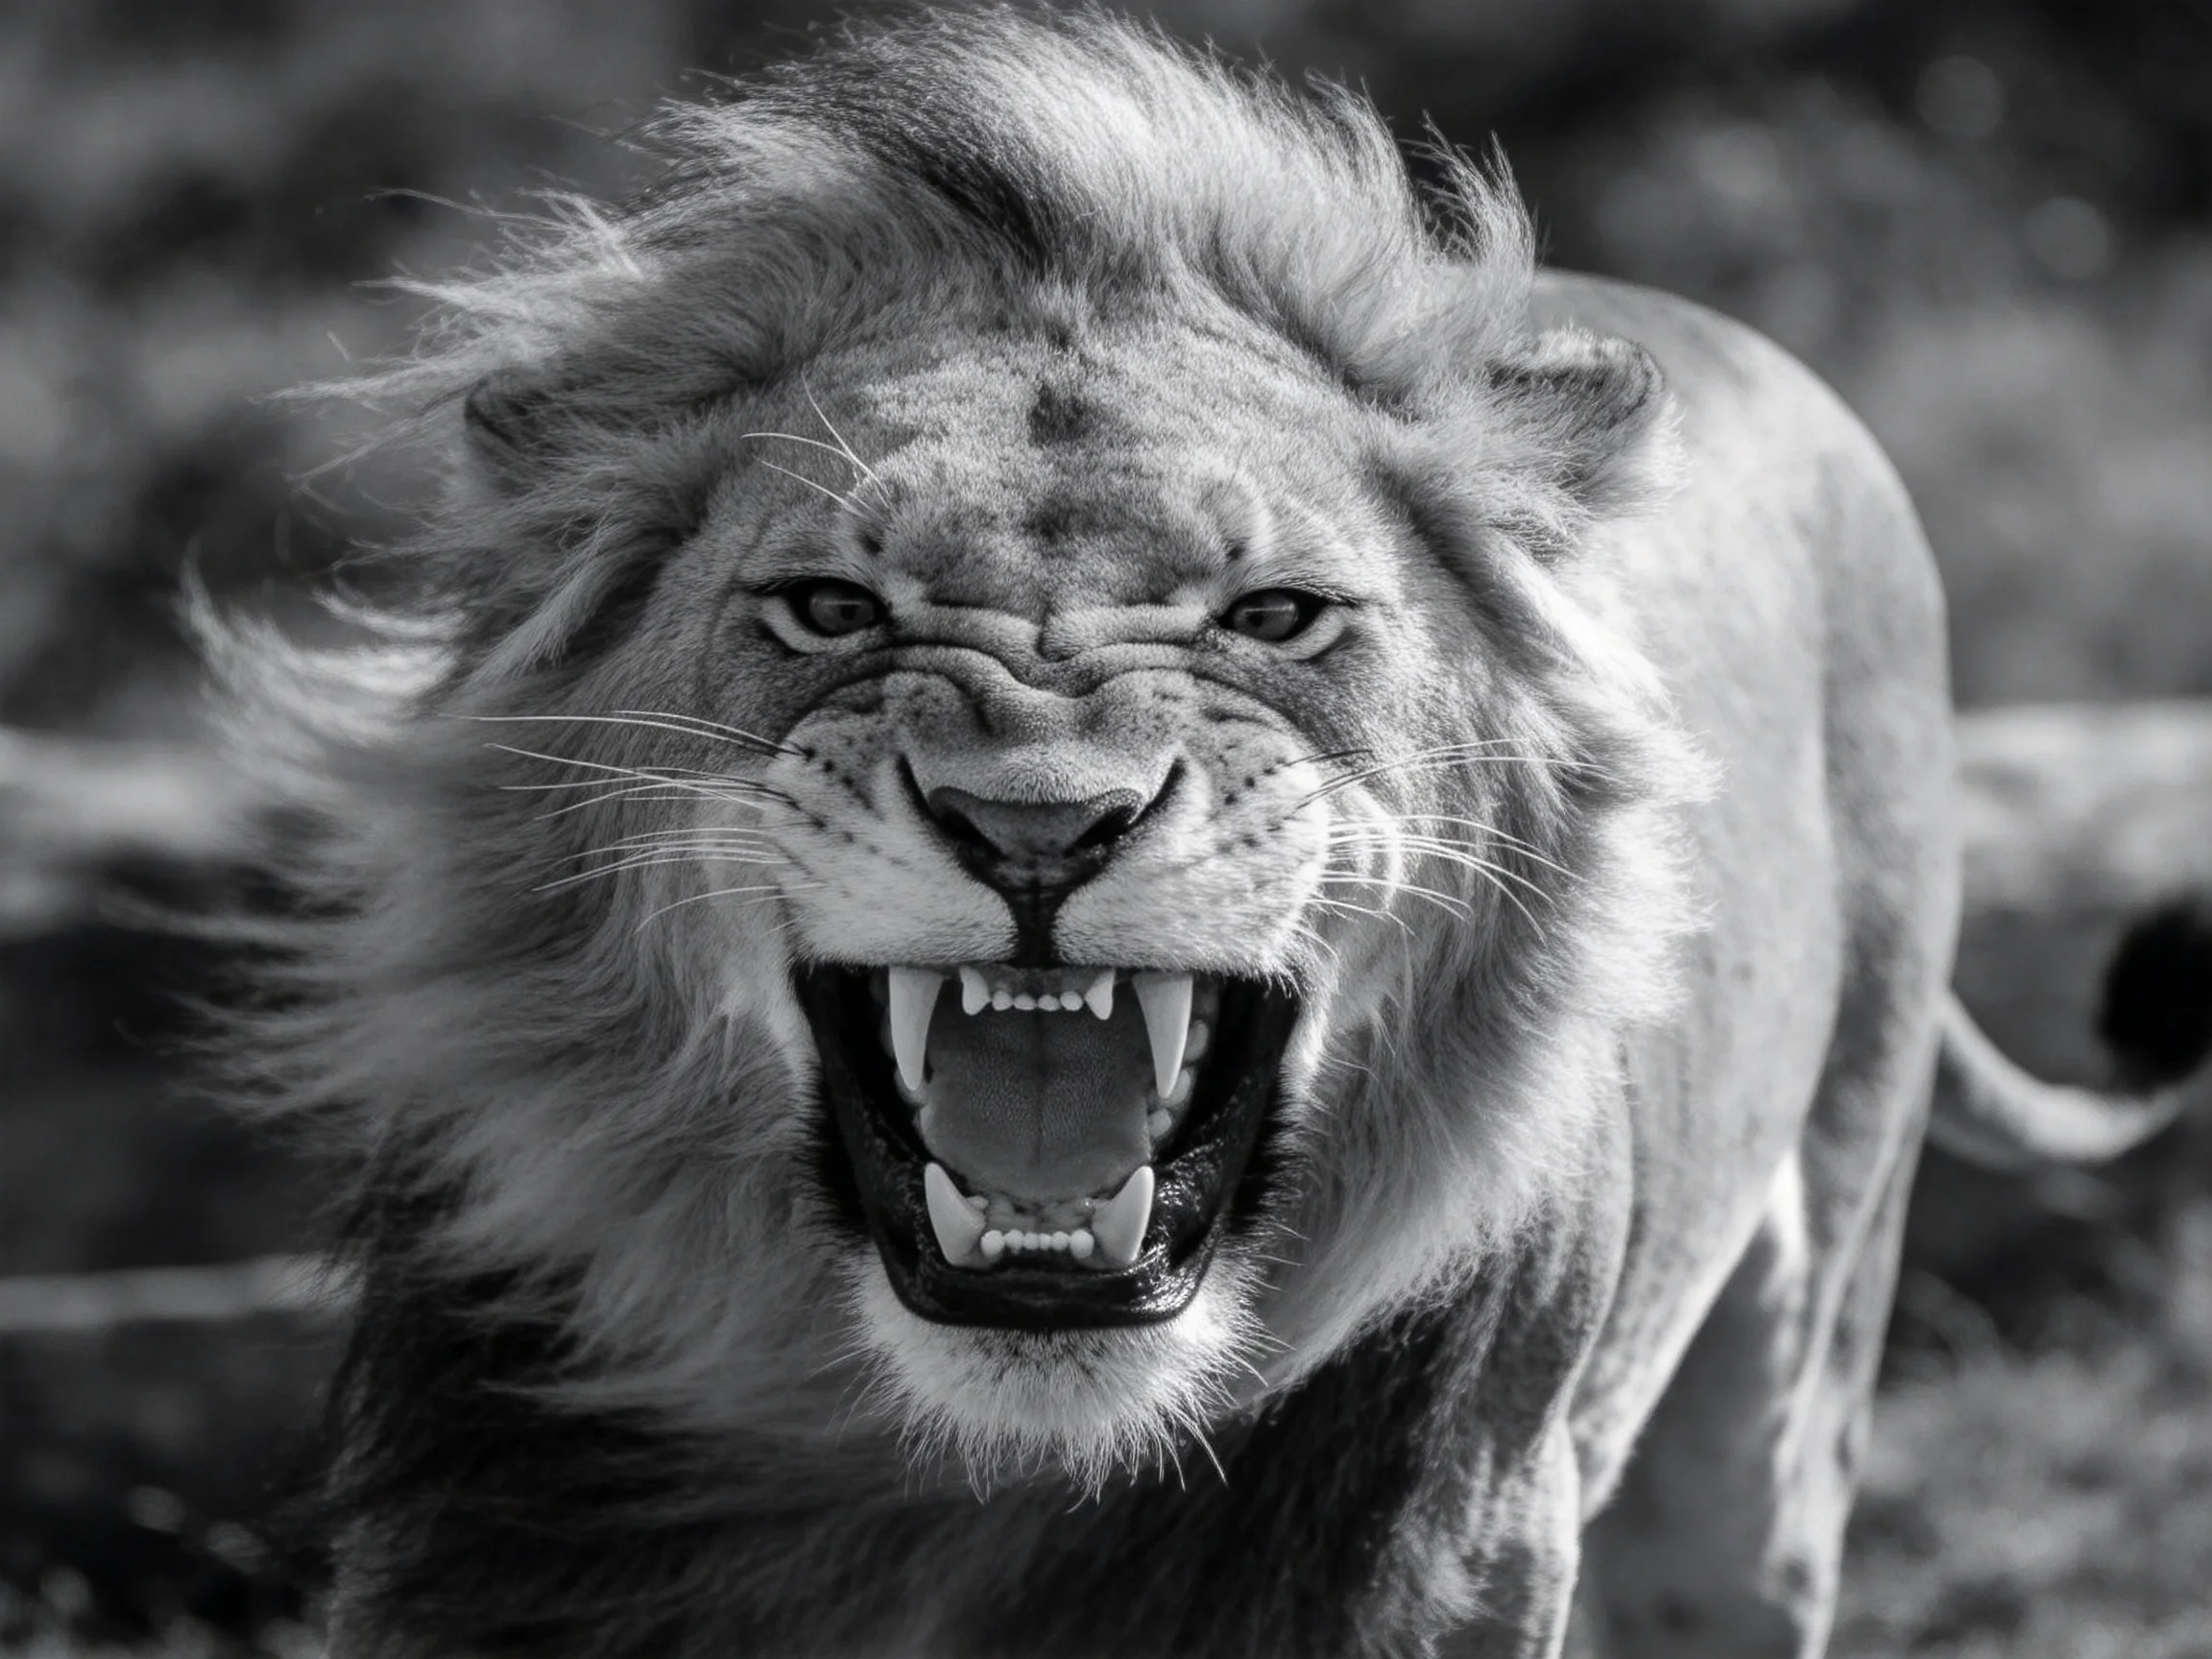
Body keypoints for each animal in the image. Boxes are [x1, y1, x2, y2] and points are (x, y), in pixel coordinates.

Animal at [207, 13, 2210, 1657]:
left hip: (1789, 1381)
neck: (959, 1457)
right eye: (831, 608)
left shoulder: (1446, 1562)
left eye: (1271, 616)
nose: (1035, 823)